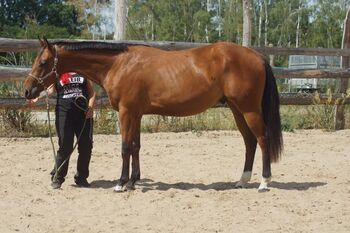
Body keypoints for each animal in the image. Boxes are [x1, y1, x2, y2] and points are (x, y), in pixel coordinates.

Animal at [23, 37, 282, 191]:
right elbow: (136, 147)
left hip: (249, 109)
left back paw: (264, 182)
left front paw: (121, 183)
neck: (118, 64)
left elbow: (125, 147)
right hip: (237, 109)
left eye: (43, 62)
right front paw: (134, 181)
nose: (27, 90)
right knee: (249, 142)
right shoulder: (136, 114)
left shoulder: (127, 113)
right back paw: (242, 181)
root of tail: (256, 55)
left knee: (262, 139)